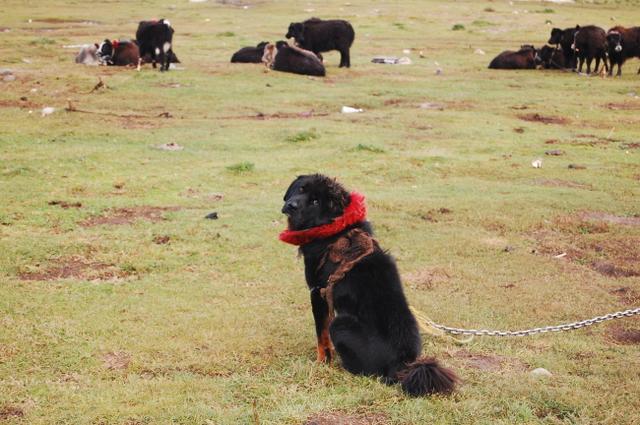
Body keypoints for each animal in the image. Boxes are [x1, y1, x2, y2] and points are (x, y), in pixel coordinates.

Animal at [278, 173, 456, 394]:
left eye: (315, 201)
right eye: (301, 189)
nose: (291, 205)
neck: (333, 228)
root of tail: (402, 363)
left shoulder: (318, 292)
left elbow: (322, 336)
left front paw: (322, 362)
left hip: (341, 324)